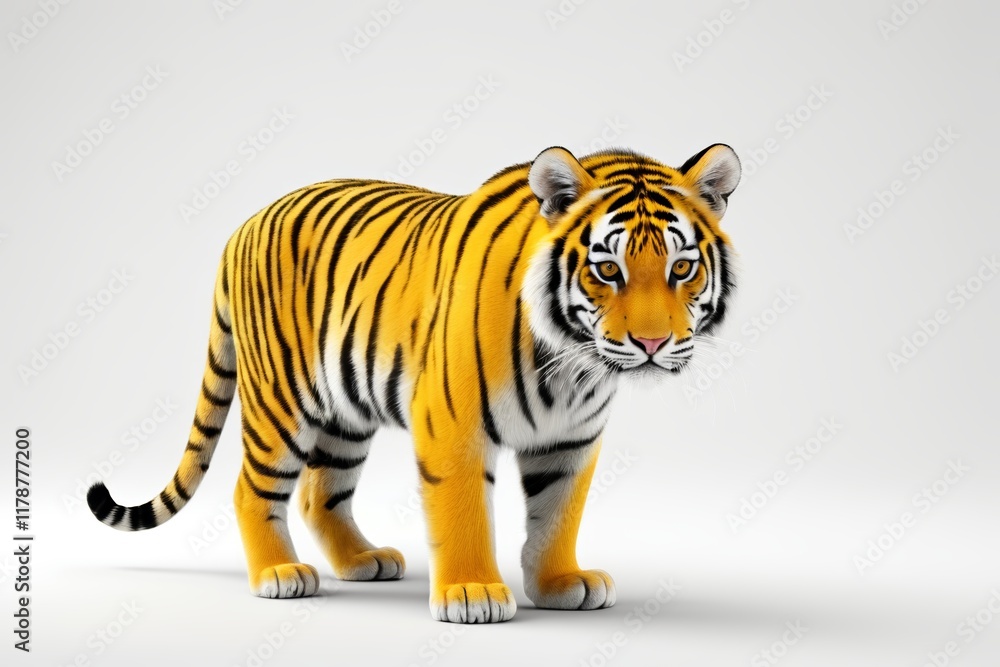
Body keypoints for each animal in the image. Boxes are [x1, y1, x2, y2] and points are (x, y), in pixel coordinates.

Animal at [87, 143, 741, 623]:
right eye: (607, 270)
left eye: (682, 267)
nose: (652, 344)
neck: (572, 366)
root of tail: (243, 227)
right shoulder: (453, 425)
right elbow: (464, 513)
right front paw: (473, 593)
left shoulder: (571, 440)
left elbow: (558, 514)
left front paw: (560, 583)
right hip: (281, 401)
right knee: (254, 489)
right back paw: (280, 574)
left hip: (344, 414)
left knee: (320, 493)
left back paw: (363, 560)